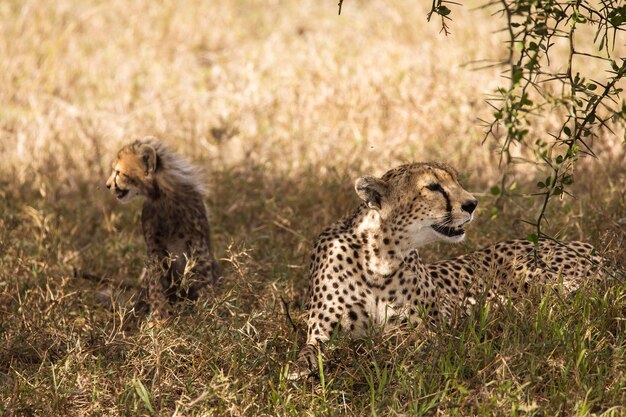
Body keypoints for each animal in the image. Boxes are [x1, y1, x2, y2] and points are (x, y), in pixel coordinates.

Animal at [107, 135, 222, 316]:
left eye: (118, 172)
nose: (107, 185)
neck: (162, 195)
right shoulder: (155, 248)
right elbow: (156, 282)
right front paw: (159, 317)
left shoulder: (198, 244)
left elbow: (203, 276)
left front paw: (209, 310)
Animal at [290, 161, 608, 378]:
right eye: (432, 187)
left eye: (457, 180)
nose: (472, 204)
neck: (378, 258)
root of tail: (586, 246)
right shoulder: (320, 333)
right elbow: (309, 351)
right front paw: (300, 368)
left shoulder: (429, 327)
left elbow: (395, 336)